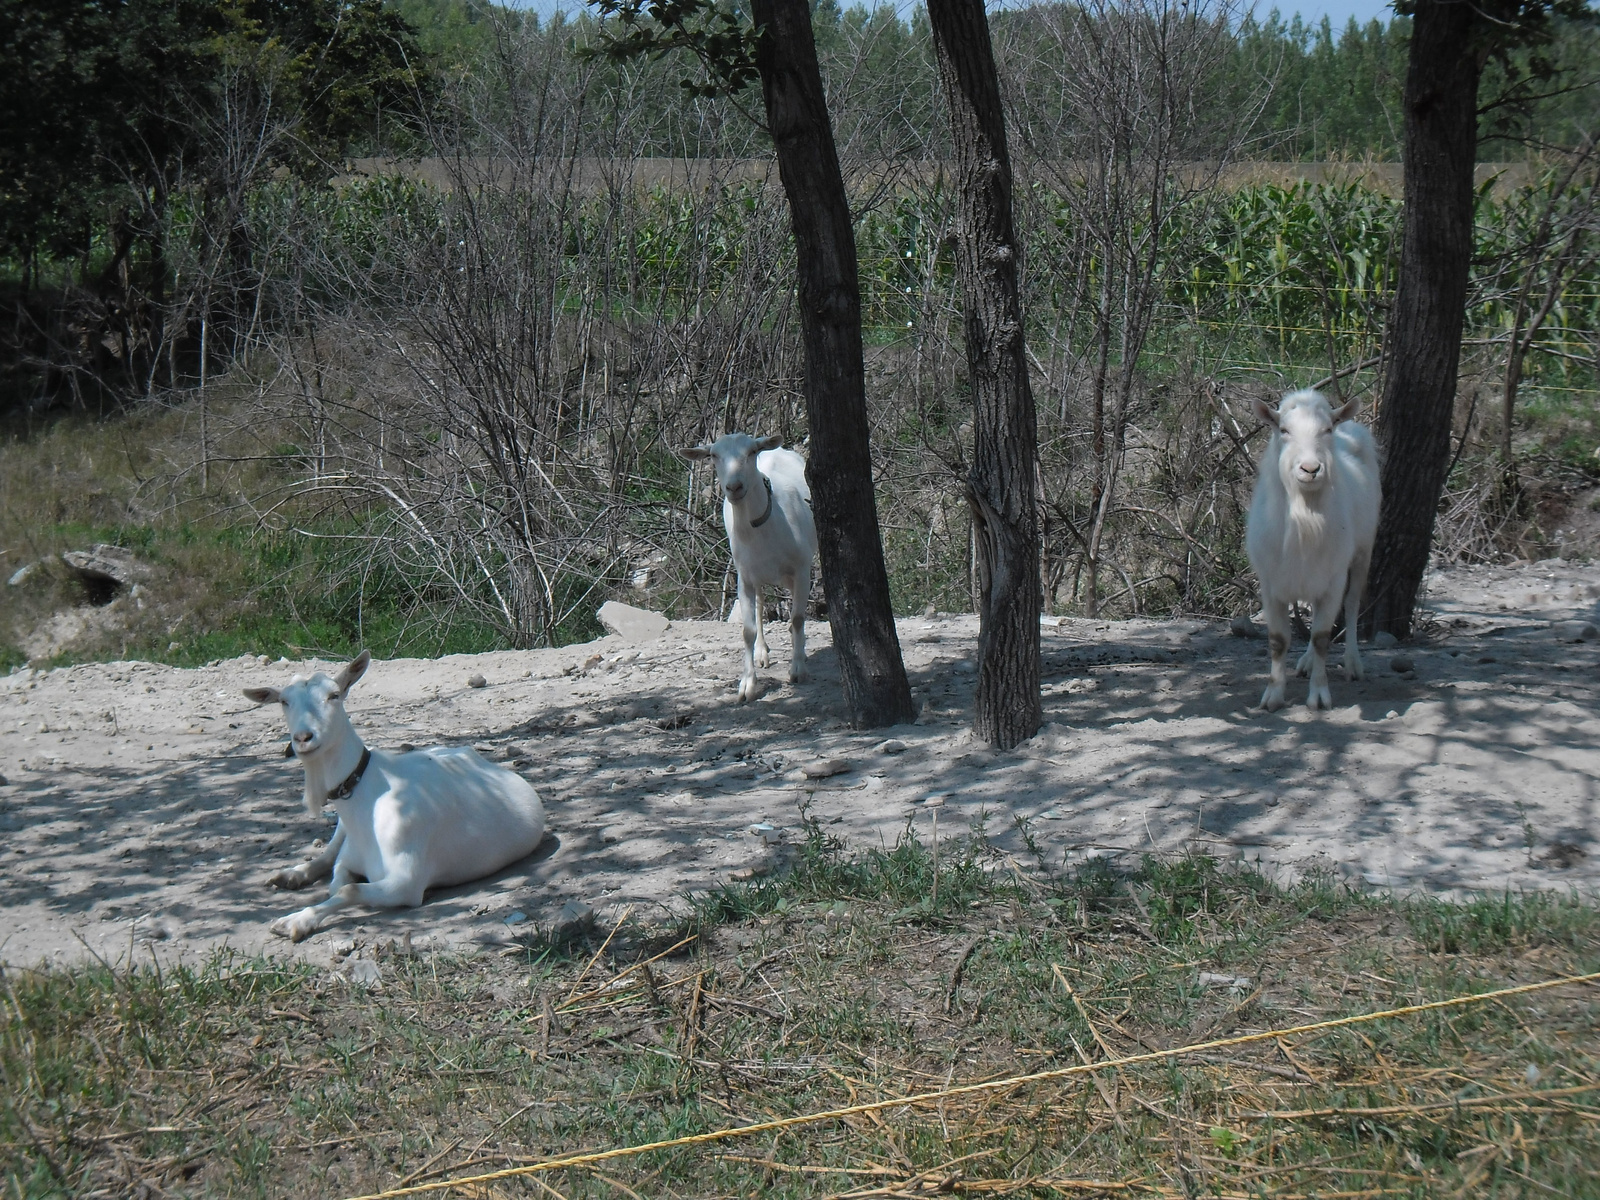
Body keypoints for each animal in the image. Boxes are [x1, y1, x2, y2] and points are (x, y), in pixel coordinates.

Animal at [240, 652, 547, 947]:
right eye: (284, 701)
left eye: (334, 695)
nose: (303, 738)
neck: (369, 797)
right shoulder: (349, 858)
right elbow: (337, 878)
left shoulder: (406, 882)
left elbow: (347, 889)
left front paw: (295, 921)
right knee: (328, 852)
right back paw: (291, 875)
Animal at [681, 435, 819, 704]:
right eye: (713, 455)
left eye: (751, 451)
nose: (734, 487)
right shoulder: (744, 577)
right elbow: (747, 630)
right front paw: (747, 685)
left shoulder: (801, 567)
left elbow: (797, 618)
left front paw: (798, 669)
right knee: (760, 602)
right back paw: (761, 653)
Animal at [1241, 392, 1382, 713]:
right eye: (1283, 430)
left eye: (1326, 429)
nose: (1310, 469)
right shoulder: (1271, 583)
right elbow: (1278, 640)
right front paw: (1272, 696)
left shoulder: (1333, 580)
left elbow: (1321, 637)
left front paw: (1318, 696)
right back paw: (1304, 662)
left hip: (1363, 551)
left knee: (1352, 605)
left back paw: (1353, 663)